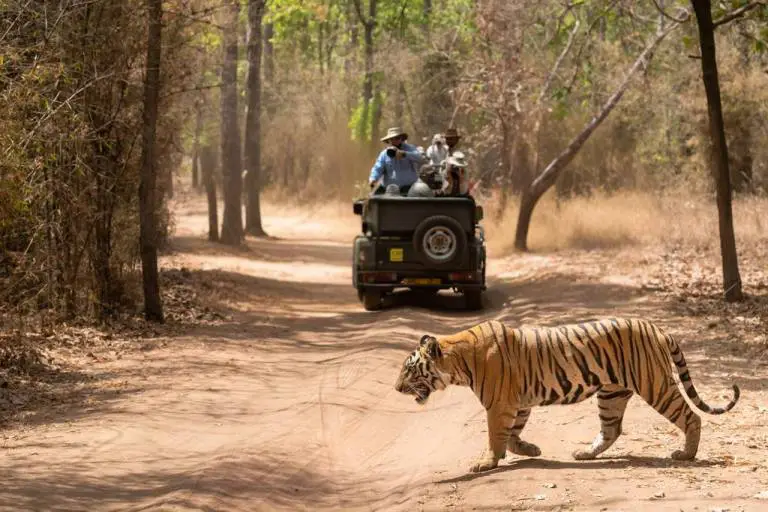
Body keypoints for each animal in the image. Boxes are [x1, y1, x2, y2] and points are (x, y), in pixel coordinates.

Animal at [394, 317, 740, 473]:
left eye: (409, 370)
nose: (396, 388)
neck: (458, 361)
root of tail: (658, 328)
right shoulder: (518, 403)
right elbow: (513, 435)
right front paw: (530, 449)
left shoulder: (499, 403)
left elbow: (495, 435)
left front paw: (487, 462)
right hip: (611, 394)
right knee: (612, 429)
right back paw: (585, 454)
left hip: (656, 385)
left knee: (691, 416)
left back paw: (686, 454)